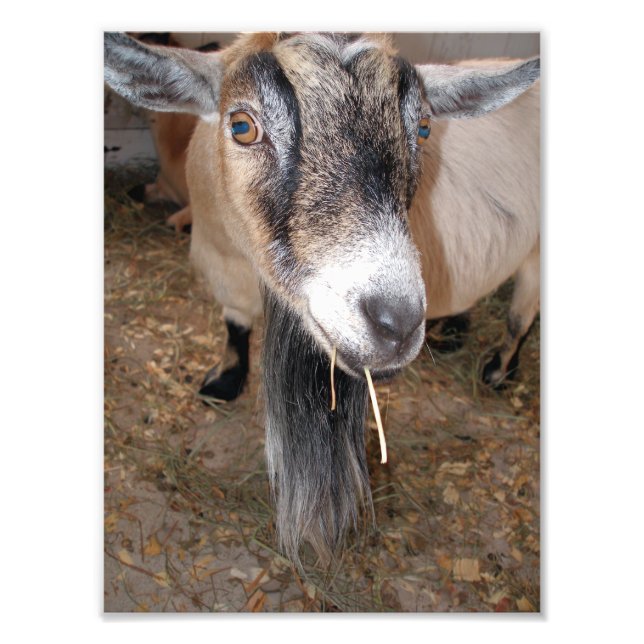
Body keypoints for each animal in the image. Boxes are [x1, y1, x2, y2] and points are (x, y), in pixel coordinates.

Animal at [104, 31, 540, 566]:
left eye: (422, 128)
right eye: (242, 126)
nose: (397, 322)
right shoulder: (222, 266)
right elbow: (235, 326)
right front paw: (223, 381)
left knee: (522, 316)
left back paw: (499, 370)